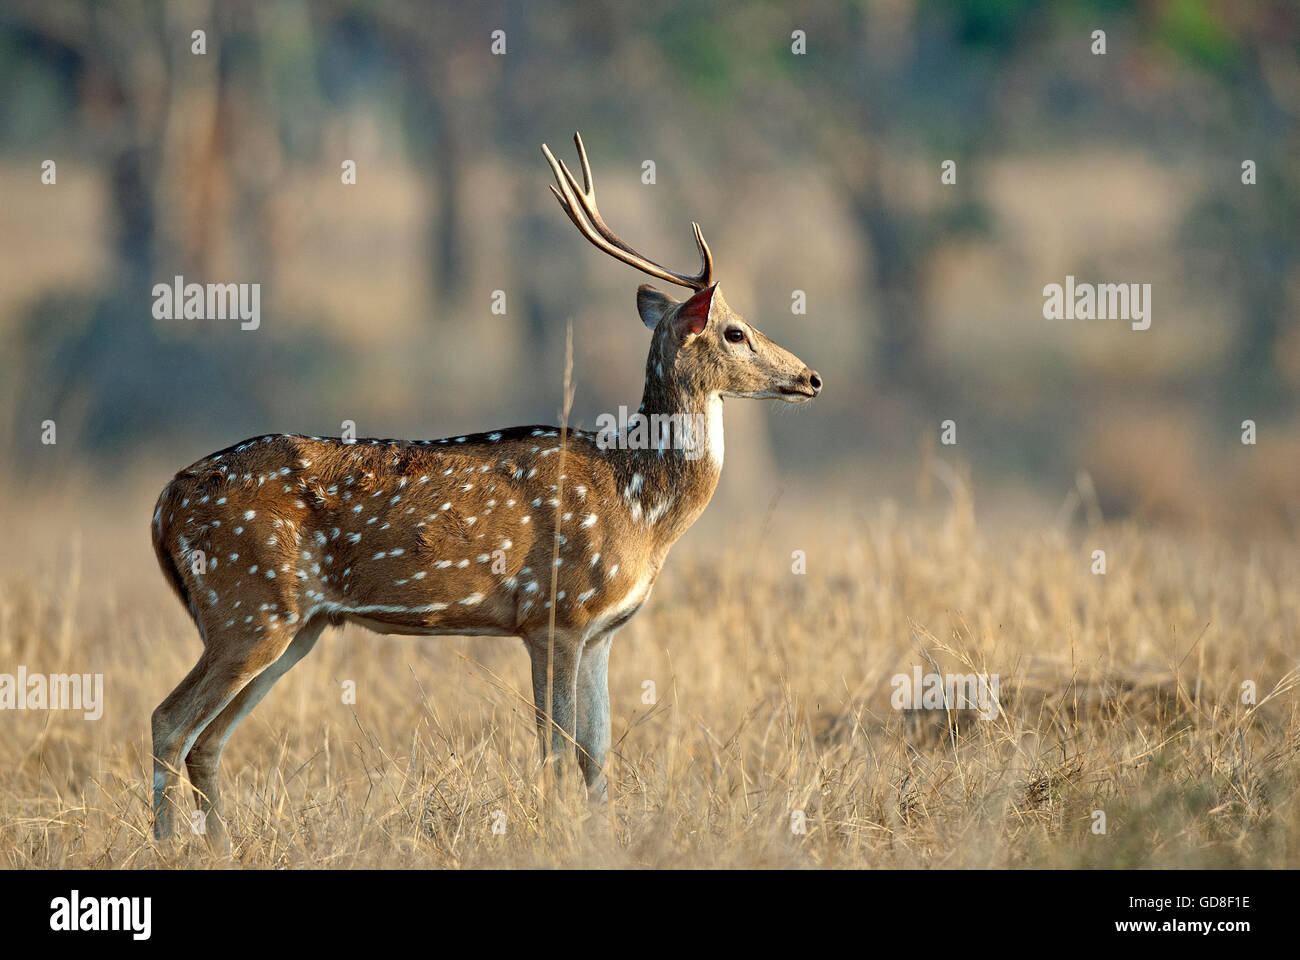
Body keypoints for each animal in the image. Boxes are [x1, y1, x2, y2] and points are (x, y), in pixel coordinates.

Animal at [149, 130, 821, 842]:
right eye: (735, 331)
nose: (810, 378)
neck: (641, 504)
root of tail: (165, 502)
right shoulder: (554, 611)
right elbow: (556, 748)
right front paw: (556, 836)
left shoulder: (602, 630)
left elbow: (597, 755)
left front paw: (598, 837)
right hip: (245, 604)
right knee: (169, 721)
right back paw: (168, 845)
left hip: (295, 624)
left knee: (207, 740)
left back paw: (221, 845)